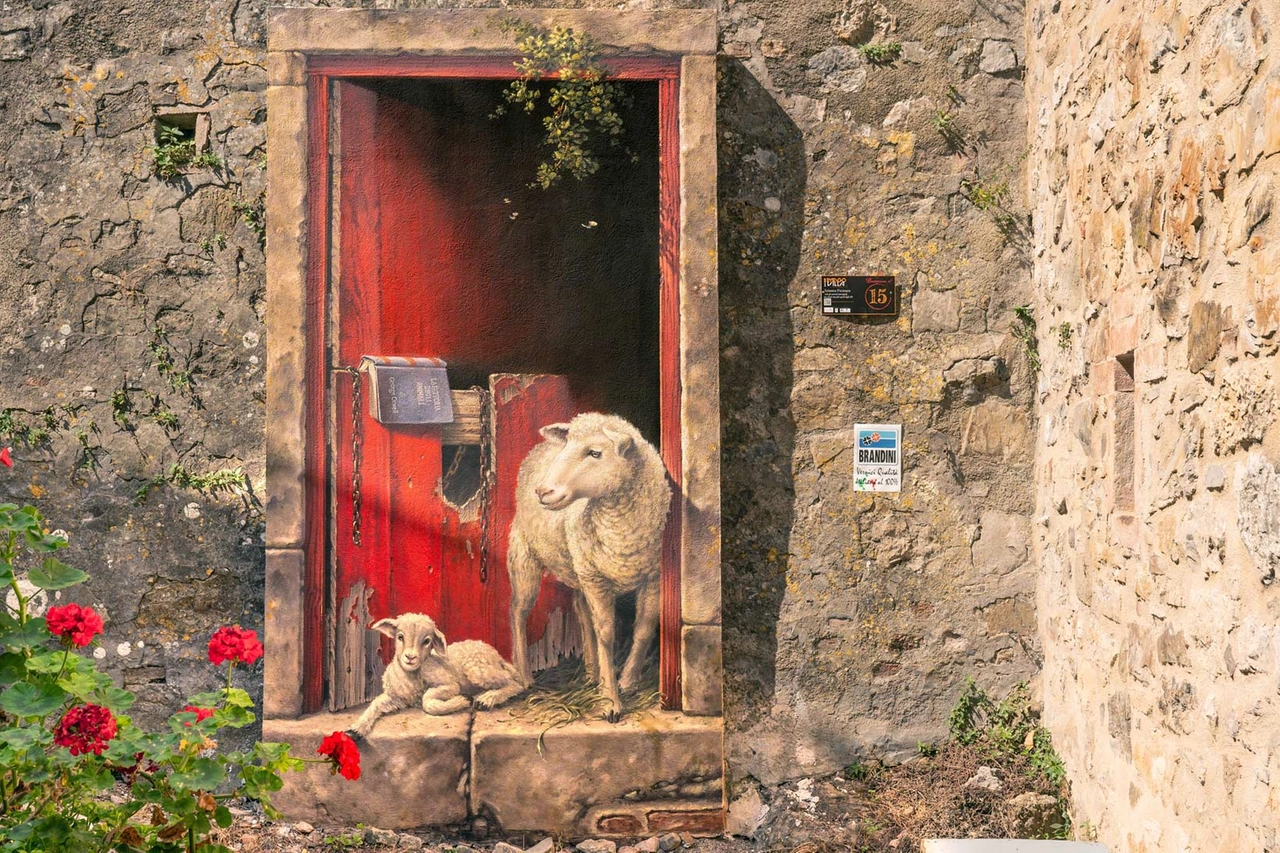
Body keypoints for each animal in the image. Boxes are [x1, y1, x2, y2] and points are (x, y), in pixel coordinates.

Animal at [348, 612, 522, 737]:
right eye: (400, 636)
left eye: (427, 641)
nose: (410, 657)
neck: (412, 676)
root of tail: (495, 654)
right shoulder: (396, 697)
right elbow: (375, 704)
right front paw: (356, 728)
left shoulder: (450, 685)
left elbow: (428, 702)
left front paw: (462, 700)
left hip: (477, 670)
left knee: (515, 683)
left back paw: (487, 699)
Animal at [506, 409, 675, 717]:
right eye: (568, 445)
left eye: (595, 453)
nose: (543, 491)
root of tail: (540, 446)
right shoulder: (597, 580)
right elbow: (606, 633)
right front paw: (610, 701)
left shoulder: (653, 576)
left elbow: (644, 627)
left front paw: (627, 681)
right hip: (525, 556)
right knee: (518, 611)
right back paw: (524, 676)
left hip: (577, 568)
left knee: (580, 610)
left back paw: (590, 673)